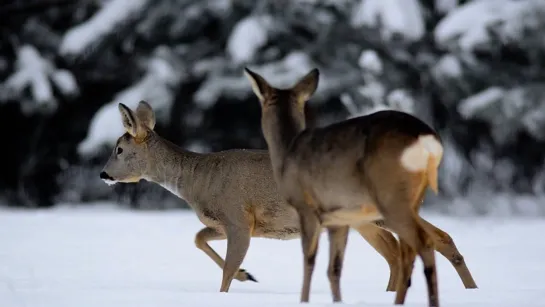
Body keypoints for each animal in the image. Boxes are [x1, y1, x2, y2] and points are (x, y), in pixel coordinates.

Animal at [100, 100, 474, 298]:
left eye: (118, 149)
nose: (103, 174)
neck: (196, 179)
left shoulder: (238, 217)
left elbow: (227, 265)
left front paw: (232, 285)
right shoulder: (228, 223)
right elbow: (198, 238)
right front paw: (247, 275)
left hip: (388, 205)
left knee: (435, 237)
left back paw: (470, 289)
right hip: (365, 218)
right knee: (396, 250)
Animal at [244, 66, 474, 306]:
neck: (287, 152)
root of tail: (426, 138)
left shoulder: (306, 206)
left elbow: (309, 259)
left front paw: (304, 300)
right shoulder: (338, 217)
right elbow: (334, 267)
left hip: (390, 197)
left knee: (423, 242)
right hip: (410, 199)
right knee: (415, 246)